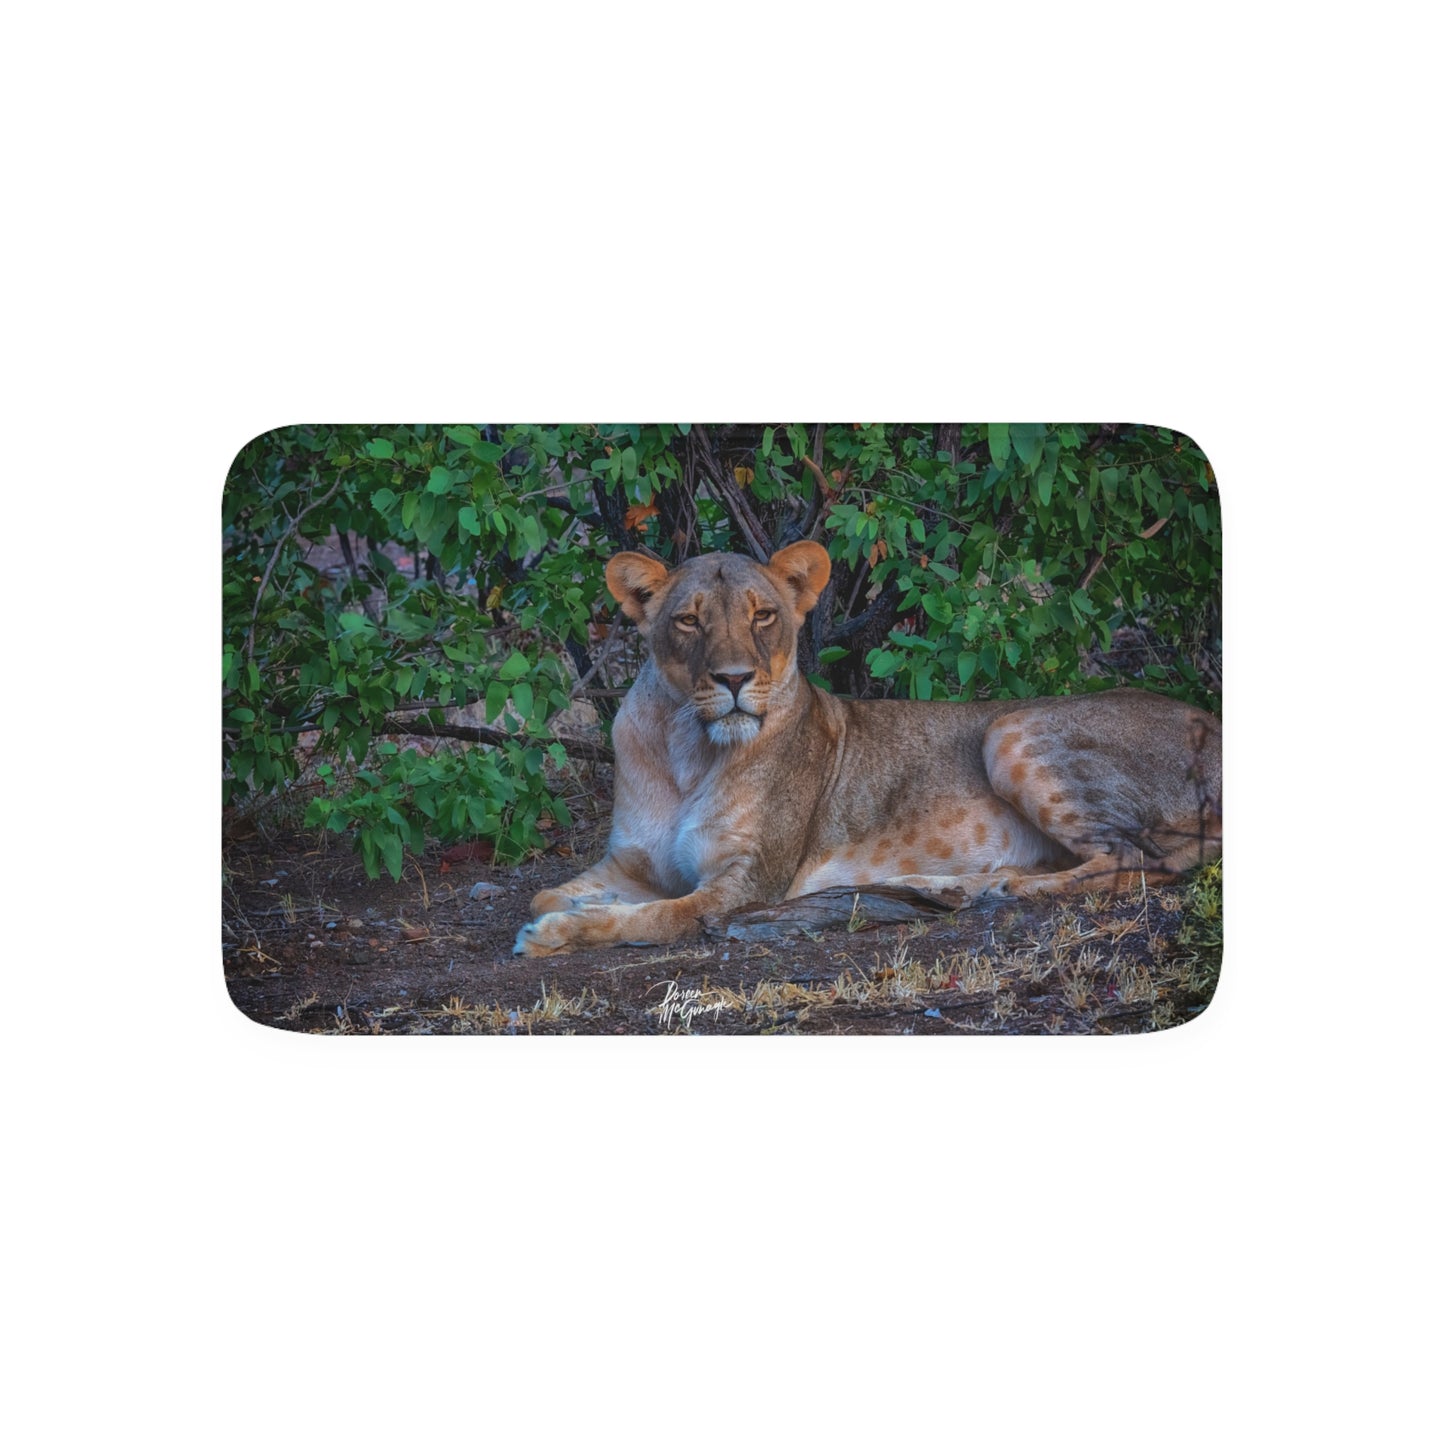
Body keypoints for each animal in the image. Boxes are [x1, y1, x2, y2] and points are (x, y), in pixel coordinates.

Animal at [513, 541, 1221, 957]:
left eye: (763, 615)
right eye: (689, 620)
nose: (734, 679)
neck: (687, 746)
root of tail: (1211, 722)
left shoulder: (745, 886)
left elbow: (653, 919)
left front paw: (555, 934)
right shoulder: (631, 864)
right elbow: (549, 892)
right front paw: (566, 907)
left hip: (1009, 728)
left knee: (1138, 859)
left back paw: (1003, 889)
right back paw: (952, 887)